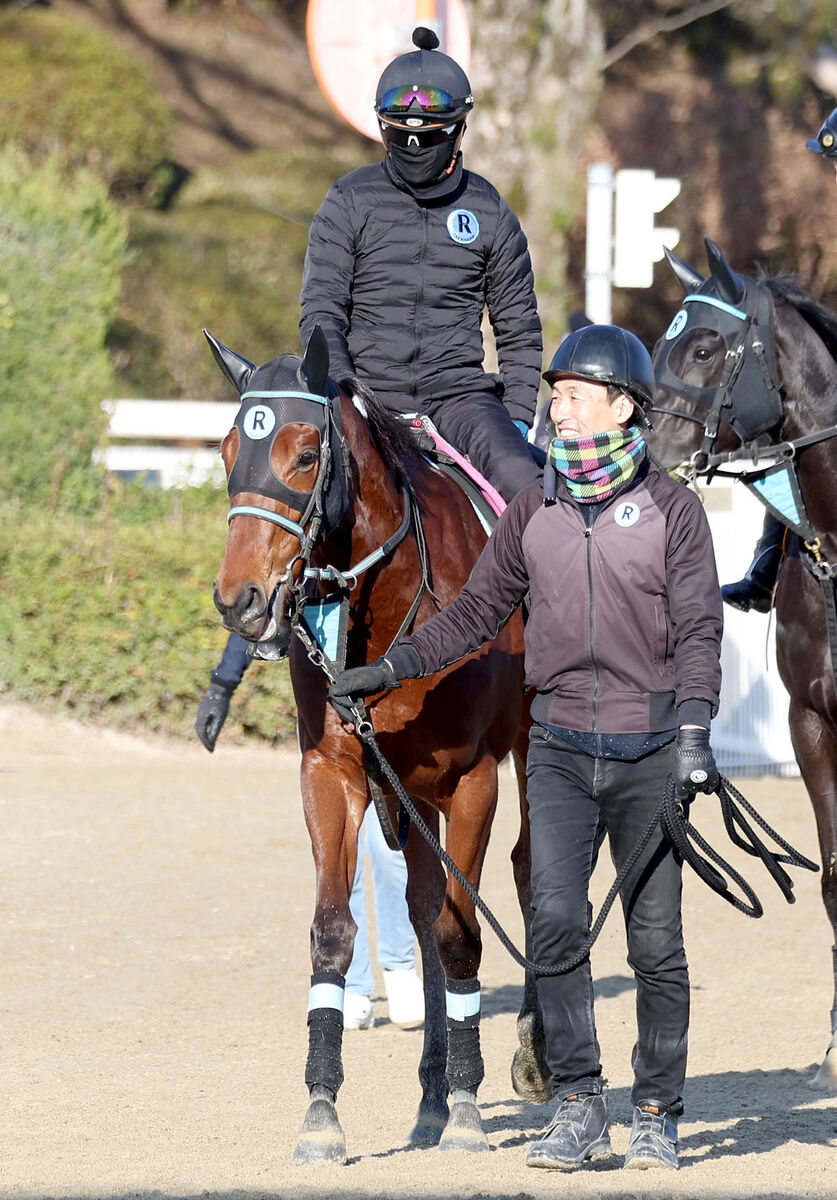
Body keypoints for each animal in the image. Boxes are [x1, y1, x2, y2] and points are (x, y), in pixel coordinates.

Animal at [206, 328, 551, 1161]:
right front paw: (322, 1111)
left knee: (531, 876)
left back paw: (532, 1059)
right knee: (423, 905)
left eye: (304, 454)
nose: (239, 599)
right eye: (230, 448)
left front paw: (468, 1109)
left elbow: (462, 935)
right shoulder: (335, 773)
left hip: (529, 751)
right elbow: (335, 931)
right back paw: (430, 1095)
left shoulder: (472, 780)